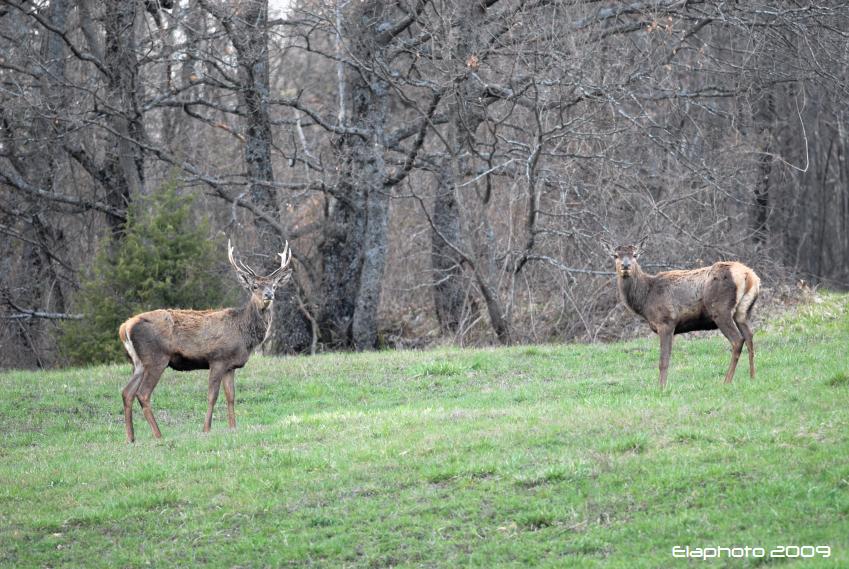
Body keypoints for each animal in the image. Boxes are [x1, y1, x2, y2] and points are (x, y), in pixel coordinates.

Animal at [119, 237, 292, 442]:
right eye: (254, 286)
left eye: (274, 286)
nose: (269, 295)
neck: (243, 333)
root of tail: (125, 327)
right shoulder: (217, 359)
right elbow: (212, 396)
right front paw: (206, 429)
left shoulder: (230, 365)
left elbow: (231, 396)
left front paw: (233, 427)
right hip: (156, 358)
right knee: (143, 393)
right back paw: (158, 435)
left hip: (139, 362)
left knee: (127, 392)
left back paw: (131, 438)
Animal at [608, 237, 760, 388]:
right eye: (615, 255)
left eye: (635, 255)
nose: (625, 265)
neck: (645, 300)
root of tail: (749, 276)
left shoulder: (666, 322)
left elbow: (663, 361)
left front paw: (661, 387)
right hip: (742, 312)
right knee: (749, 337)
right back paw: (752, 378)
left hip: (721, 309)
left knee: (738, 340)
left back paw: (726, 381)